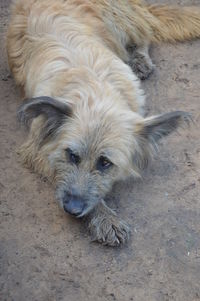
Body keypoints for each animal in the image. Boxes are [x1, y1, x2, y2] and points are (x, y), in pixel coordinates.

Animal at [6, 0, 200, 245]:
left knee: (145, 32)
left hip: (118, 19)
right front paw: (105, 218)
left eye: (105, 163)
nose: (72, 208)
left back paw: (140, 59)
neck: (93, 89)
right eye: (71, 155)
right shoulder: (36, 148)